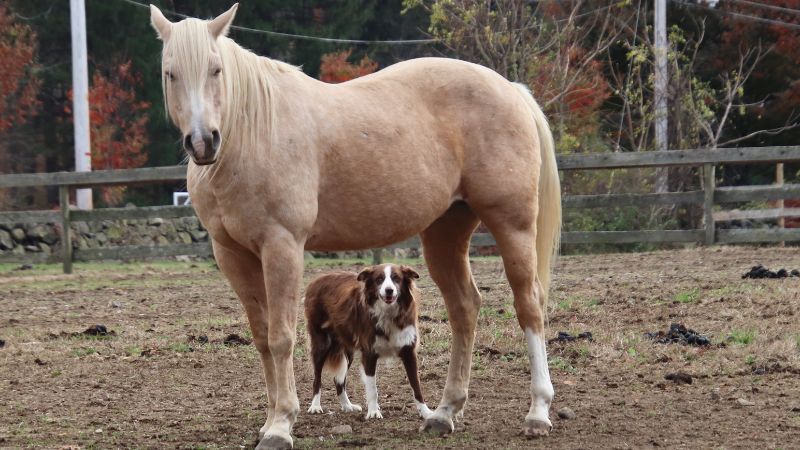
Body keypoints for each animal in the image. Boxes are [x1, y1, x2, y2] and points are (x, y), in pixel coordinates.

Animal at [304, 262, 432, 420]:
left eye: (396, 278)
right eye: (379, 279)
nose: (389, 290)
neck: (388, 312)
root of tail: (316, 280)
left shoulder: (409, 352)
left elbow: (416, 386)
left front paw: (426, 412)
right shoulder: (369, 353)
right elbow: (372, 389)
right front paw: (373, 412)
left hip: (348, 351)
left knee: (339, 380)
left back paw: (347, 405)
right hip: (321, 343)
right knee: (317, 379)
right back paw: (315, 406)